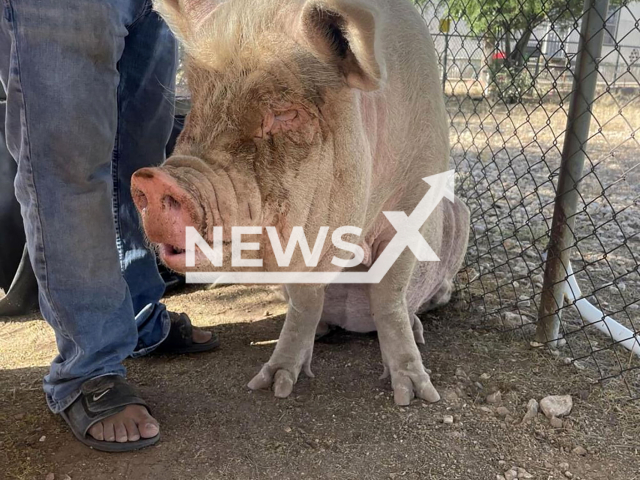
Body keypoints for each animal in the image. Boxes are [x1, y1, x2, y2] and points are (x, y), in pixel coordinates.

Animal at [131, 0, 470, 404]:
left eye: (286, 112)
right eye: (198, 100)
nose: (152, 180)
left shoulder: (414, 202)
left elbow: (389, 296)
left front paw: (415, 395)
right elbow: (305, 301)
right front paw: (271, 385)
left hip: (461, 213)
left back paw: (419, 327)